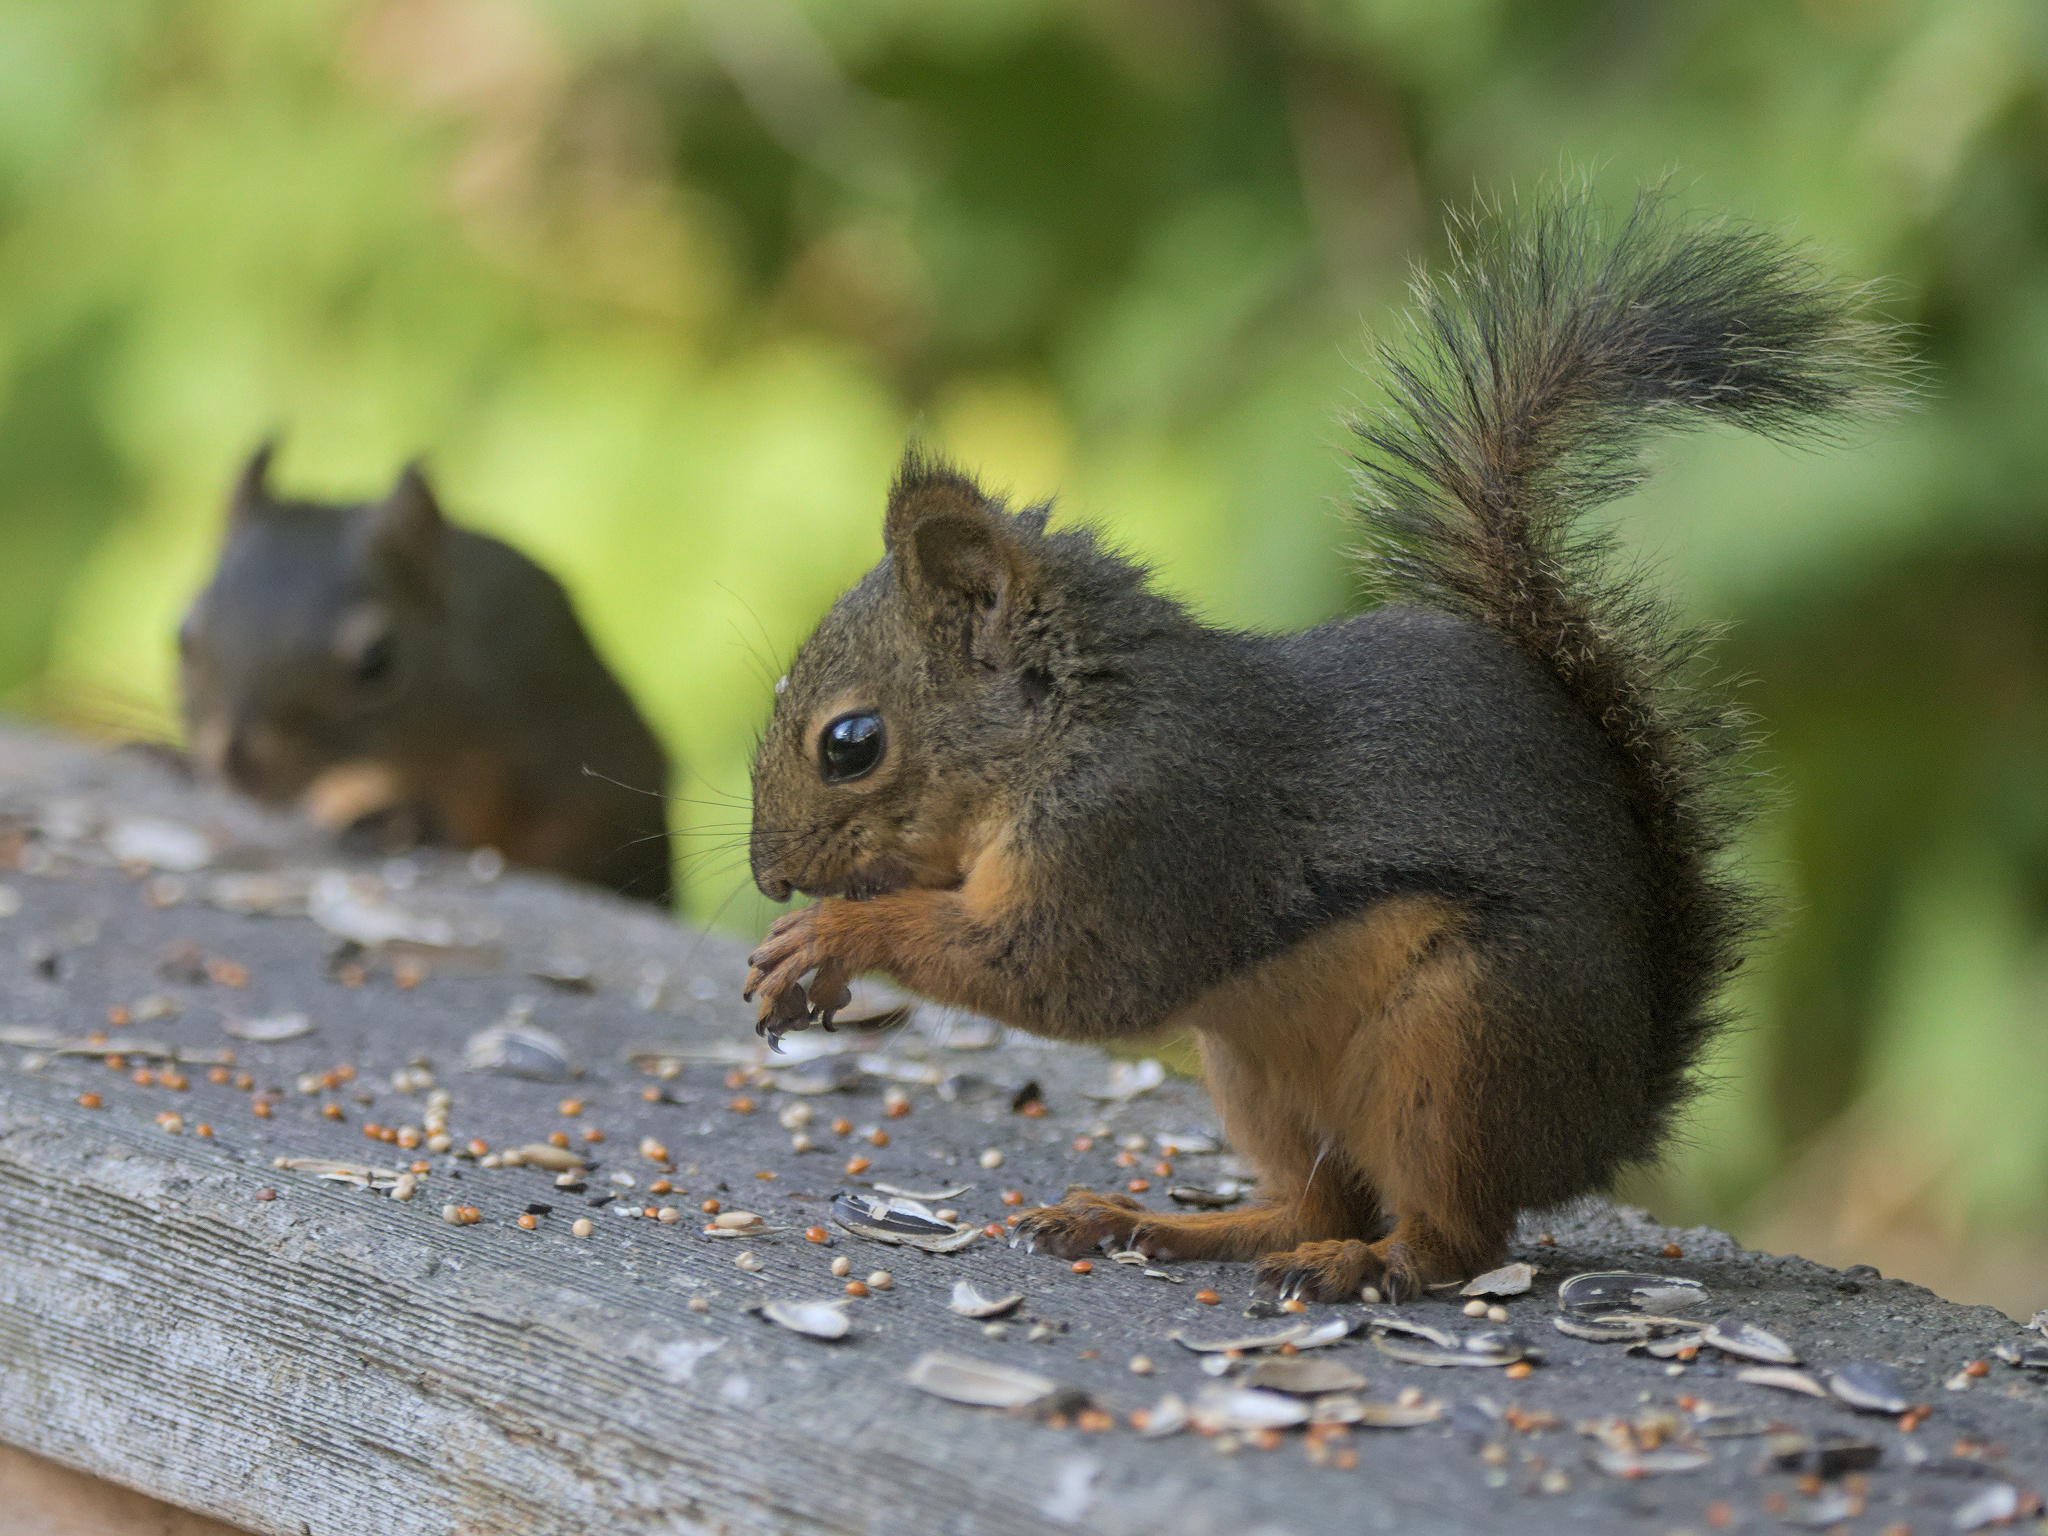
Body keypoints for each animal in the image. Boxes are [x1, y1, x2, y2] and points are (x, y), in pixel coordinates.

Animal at [742, 191, 1900, 1299]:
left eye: (851, 743)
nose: (765, 876)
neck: (1063, 732)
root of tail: (1602, 1128)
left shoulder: (1138, 834)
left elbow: (1061, 975)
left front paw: (836, 936)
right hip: (1253, 1066)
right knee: (1312, 1205)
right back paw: (1154, 1225)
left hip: (1459, 1044)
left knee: (1454, 1238)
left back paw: (1369, 1265)